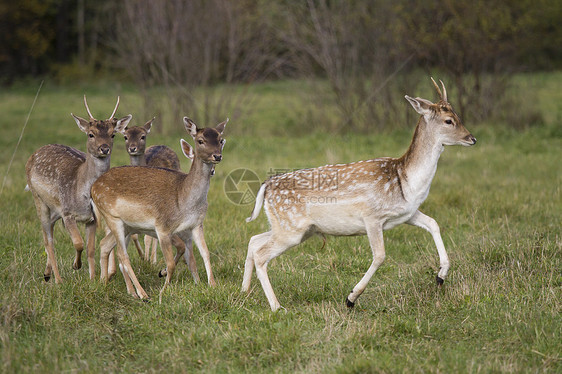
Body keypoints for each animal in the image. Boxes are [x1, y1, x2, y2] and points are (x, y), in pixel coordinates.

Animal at [25, 96, 131, 284]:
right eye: (91, 134)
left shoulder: (91, 219)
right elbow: (78, 243)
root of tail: (33, 155)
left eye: (113, 134)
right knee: (48, 240)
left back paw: (47, 273)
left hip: (55, 209)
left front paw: (93, 278)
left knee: (50, 230)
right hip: (38, 198)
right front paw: (76, 265)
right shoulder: (67, 213)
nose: (104, 148)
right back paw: (58, 279)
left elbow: (90, 248)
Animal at [89, 118, 225, 300]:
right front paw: (162, 291)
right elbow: (171, 263)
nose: (217, 156)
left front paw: (212, 285)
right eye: (201, 140)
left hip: (128, 225)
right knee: (122, 254)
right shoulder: (163, 227)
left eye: (220, 140)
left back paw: (104, 283)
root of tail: (93, 187)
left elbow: (205, 253)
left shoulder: (197, 224)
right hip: (111, 216)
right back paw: (142, 294)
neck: (184, 199)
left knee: (105, 244)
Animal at [243, 79, 474, 312]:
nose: (472, 138)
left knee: (254, 241)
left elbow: (433, 223)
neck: (405, 180)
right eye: (449, 120)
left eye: (457, 116)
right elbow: (380, 256)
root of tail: (266, 185)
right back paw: (276, 306)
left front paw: (440, 277)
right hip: (291, 228)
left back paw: (244, 292)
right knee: (261, 254)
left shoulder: (407, 213)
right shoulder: (372, 216)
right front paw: (351, 298)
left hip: (296, 228)